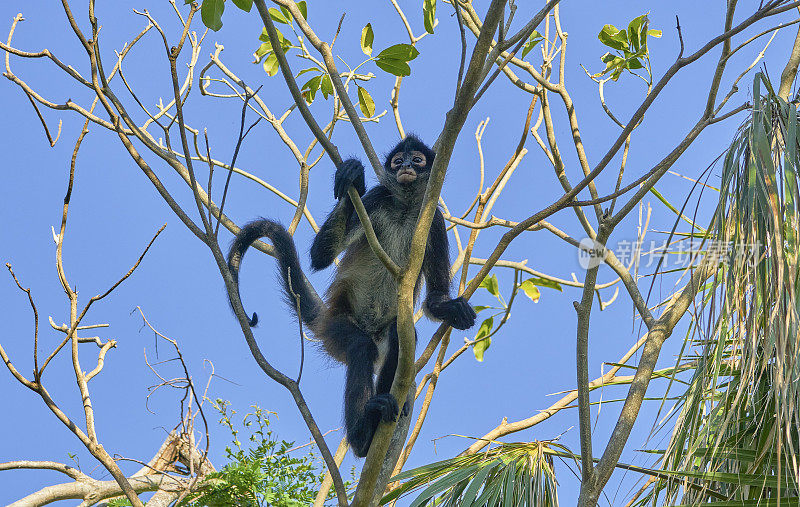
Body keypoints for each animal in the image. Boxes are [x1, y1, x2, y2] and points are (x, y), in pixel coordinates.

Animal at [227, 137, 476, 458]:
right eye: (398, 161)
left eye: (418, 160)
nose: (407, 166)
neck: (405, 207)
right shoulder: (378, 199)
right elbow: (320, 256)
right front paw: (352, 178)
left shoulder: (433, 218)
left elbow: (434, 299)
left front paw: (451, 308)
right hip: (338, 326)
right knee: (360, 346)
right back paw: (361, 436)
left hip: (382, 332)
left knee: (399, 339)